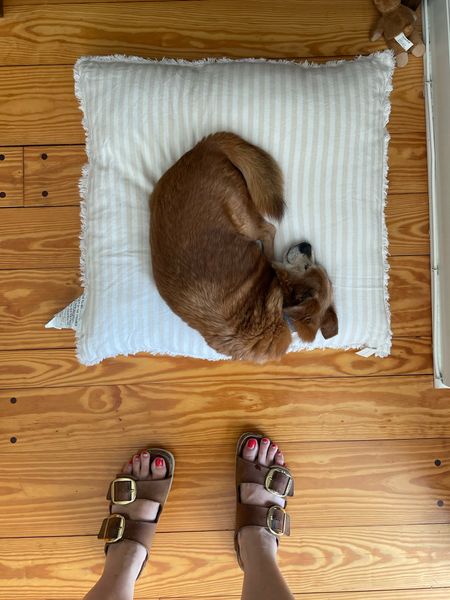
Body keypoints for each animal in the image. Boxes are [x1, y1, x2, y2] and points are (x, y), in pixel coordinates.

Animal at [151, 132, 338, 360]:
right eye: (308, 266)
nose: (307, 245)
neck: (280, 315)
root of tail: (205, 146)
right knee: (268, 231)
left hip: (243, 220)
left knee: (268, 230)